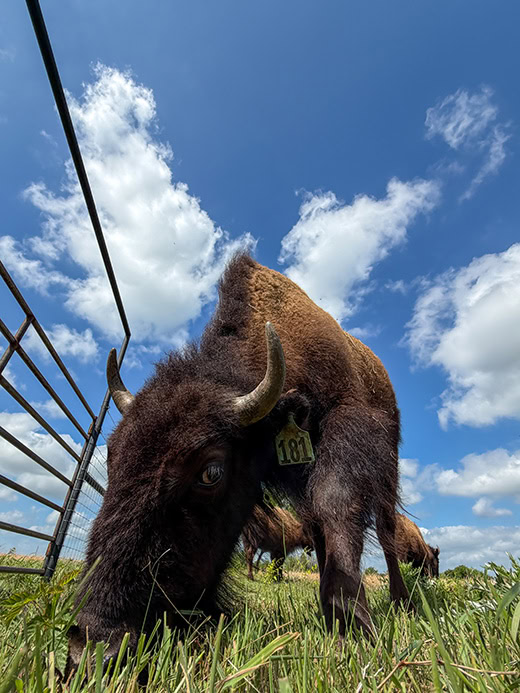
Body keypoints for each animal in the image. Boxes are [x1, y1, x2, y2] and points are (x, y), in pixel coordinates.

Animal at [68, 253, 410, 667]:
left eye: (211, 471)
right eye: (113, 455)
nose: (93, 645)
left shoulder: (346, 431)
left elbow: (337, 504)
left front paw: (351, 621)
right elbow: (320, 524)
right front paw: (335, 613)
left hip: (389, 466)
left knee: (387, 528)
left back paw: (402, 601)